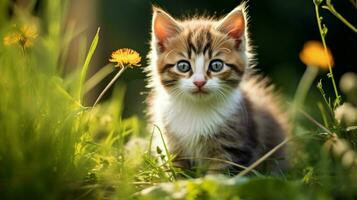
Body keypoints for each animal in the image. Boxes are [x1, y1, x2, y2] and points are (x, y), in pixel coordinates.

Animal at [146, 2, 288, 174]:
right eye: (183, 66)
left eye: (216, 65)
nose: (199, 82)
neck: (197, 110)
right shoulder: (173, 147)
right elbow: (177, 172)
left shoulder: (233, 149)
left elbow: (219, 175)